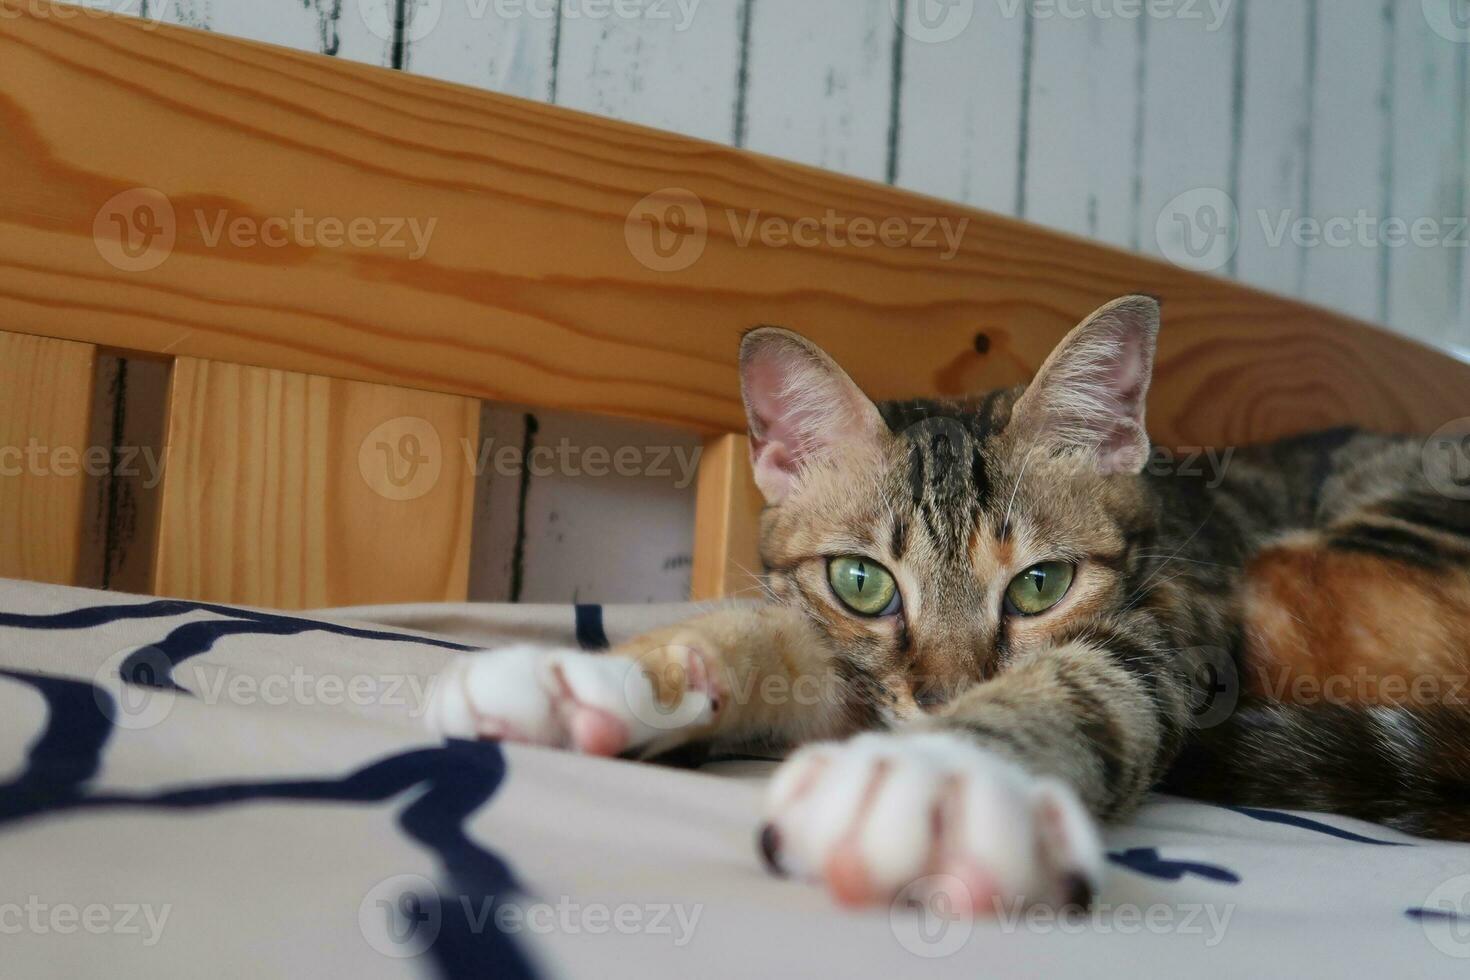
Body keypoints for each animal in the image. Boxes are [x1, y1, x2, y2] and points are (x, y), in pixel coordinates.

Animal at [429, 296, 1470, 910]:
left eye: (1041, 585)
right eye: (862, 583)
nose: (941, 699)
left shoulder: (1174, 623)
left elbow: (1086, 686)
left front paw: (939, 776)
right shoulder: (849, 657)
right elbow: (783, 641)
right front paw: (603, 679)